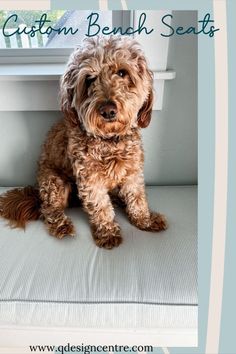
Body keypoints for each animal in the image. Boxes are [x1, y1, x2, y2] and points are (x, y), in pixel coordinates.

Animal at [0, 36, 167, 249]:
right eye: (89, 79)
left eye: (122, 72)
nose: (108, 110)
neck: (109, 140)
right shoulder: (90, 178)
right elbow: (101, 206)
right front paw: (107, 232)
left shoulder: (132, 172)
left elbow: (137, 198)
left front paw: (145, 220)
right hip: (54, 183)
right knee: (48, 209)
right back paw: (61, 225)